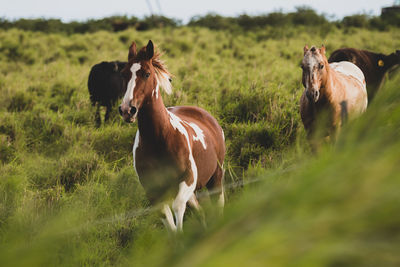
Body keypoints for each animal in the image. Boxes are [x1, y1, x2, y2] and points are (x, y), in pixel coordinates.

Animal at [118, 40, 225, 232]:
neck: (160, 139)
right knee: (199, 211)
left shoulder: (187, 180)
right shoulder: (153, 192)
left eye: (146, 73)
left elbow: (177, 208)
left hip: (216, 177)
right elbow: (168, 221)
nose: (127, 110)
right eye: (123, 74)